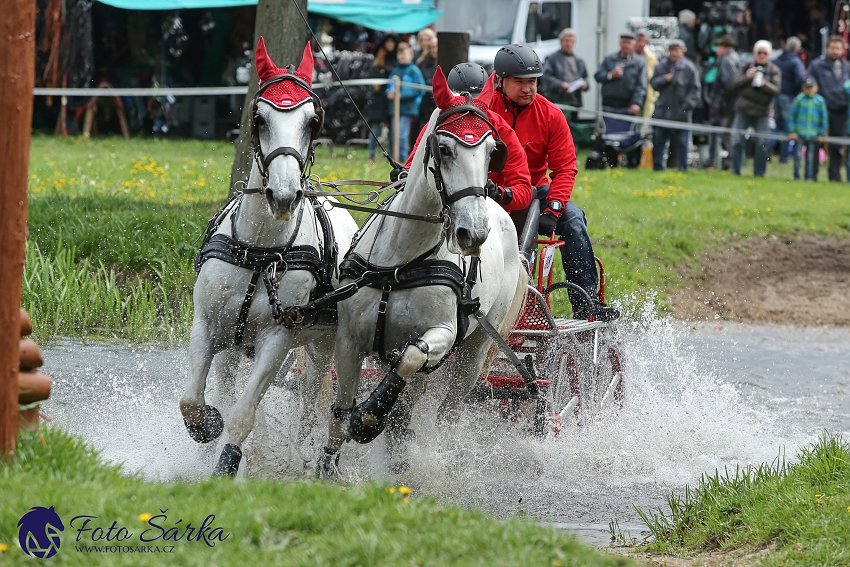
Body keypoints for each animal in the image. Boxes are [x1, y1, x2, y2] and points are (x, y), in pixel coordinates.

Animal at [181, 37, 356, 478]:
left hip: (321, 345)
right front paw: (207, 427)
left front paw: (226, 464)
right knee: (225, 382)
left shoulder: (278, 339)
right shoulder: (205, 324)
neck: (260, 251)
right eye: (258, 118)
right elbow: (192, 400)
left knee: (310, 398)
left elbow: (243, 414)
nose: (284, 194)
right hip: (230, 342)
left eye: (313, 121)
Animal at [316, 69, 524, 478]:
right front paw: (327, 464)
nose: (473, 233)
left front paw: (369, 418)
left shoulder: (441, 333)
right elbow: (340, 407)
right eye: (444, 149)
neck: (402, 260)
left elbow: (410, 356)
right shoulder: (348, 338)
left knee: (448, 408)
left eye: (492, 151)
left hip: (475, 349)